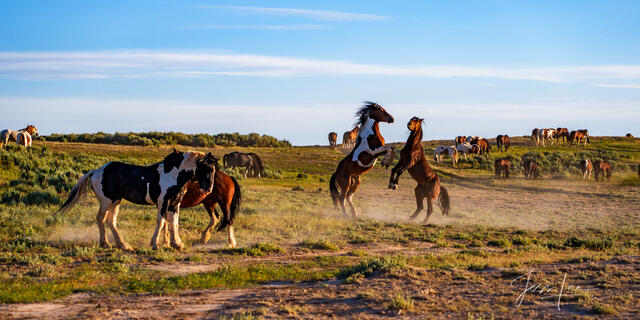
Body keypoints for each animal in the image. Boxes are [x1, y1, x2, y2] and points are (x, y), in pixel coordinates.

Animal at [58, 149, 218, 251]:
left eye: (213, 169)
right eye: (204, 168)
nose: (209, 189)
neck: (174, 175)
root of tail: (96, 171)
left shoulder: (174, 203)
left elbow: (174, 223)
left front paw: (177, 244)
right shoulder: (162, 202)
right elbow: (161, 222)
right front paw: (155, 244)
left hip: (116, 201)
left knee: (110, 220)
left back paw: (123, 245)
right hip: (106, 201)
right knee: (101, 218)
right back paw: (105, 244)